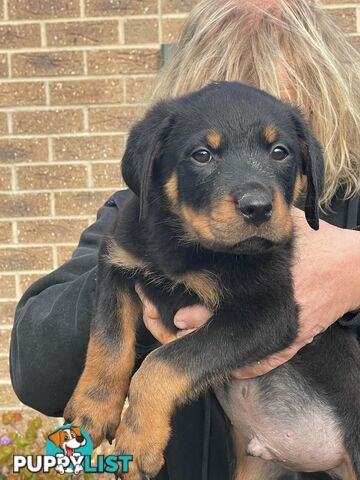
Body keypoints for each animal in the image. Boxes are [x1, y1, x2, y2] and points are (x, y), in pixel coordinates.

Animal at [64, 82, 360, 480]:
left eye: (280, 152)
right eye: (202, 155)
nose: (258, 208)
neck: (189, 245)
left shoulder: (267, 314)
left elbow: (162, 362)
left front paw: (139, 439)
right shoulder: (116, 263)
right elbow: (108, 342)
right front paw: (91, 408)